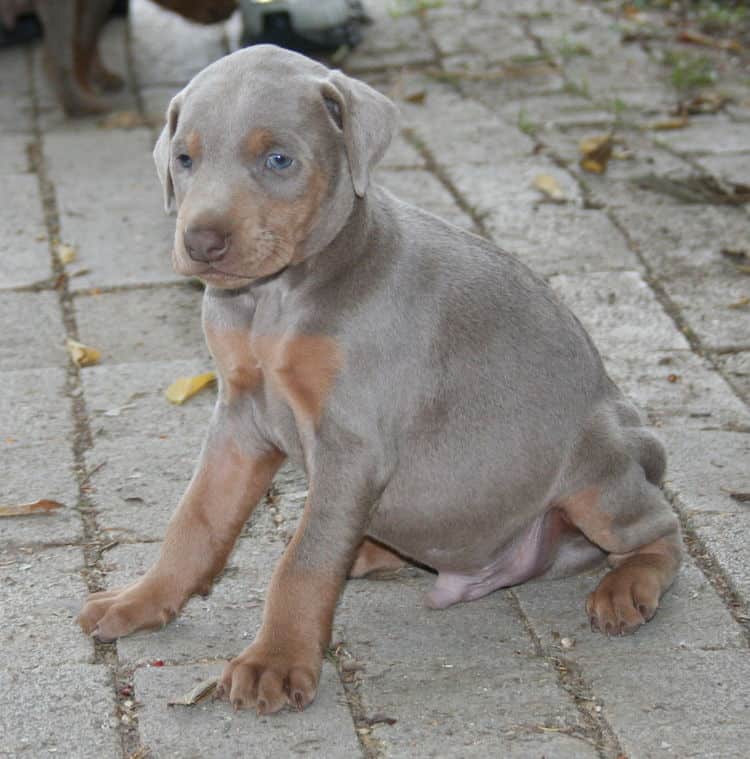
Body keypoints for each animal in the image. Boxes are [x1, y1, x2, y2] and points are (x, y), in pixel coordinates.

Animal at [79, 44, 684, 716]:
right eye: (185, 158)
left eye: (279, 159)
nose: (201, 241)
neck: (275, 300)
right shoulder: (238, 419)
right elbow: (194, 520)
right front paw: (140, 599)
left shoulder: (351, 443)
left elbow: (304, 561)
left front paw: (273, 662)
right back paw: (371, 551)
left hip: (597, 475)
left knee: (661, 531)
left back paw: (626, 587)